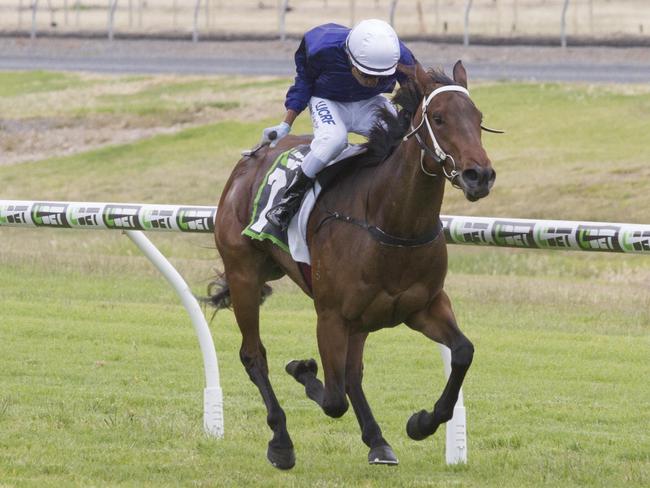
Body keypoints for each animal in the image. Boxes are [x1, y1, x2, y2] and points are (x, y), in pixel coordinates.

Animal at [210, 61, 494, 468]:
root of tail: (249, 161)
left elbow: (462, 352)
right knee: (255, 355)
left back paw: (377, 440)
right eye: (439, 119)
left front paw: (421, 422)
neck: (391, 221)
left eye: (479, 118)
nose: (480, 175)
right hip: (243, 273)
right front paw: (302, 369)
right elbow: (332, 398)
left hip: (356, 315)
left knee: (352, 374)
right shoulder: (330, 316)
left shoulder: (424, 306)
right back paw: (281, 440)